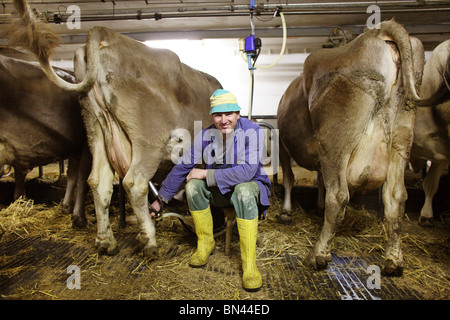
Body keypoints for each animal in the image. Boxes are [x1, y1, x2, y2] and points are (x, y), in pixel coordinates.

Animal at [0, 56, 91, 229]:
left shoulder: (75, 148)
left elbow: (72, 176)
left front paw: (66, 207)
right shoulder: (86, 145)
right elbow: (83, 179)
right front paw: (79, 217)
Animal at [278, 20, 426, 276]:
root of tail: (379, 31)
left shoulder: (282, 145)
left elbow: (289, 178)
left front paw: (287, 211)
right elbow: (318, 181)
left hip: (336, 141)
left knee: (338, 195)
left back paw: (318, 255)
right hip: (401, 137)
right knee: (396, 196)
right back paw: (393, 260)